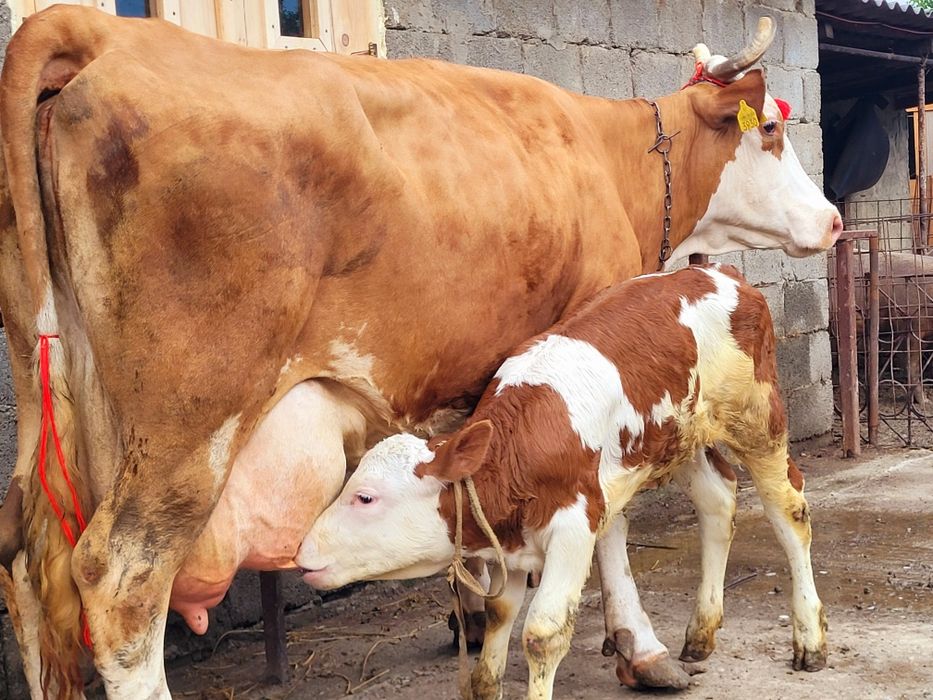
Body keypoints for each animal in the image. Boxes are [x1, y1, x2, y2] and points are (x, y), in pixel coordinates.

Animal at [297, 264, 828, 700]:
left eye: (365, 498)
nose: (302, 555)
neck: (517, 448)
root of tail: (721, 272)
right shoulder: (507, 545)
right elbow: (499, 618)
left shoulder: (575, 525)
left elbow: (542, 633)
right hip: (683, 436)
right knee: (718, 502)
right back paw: (700, 633)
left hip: (757, 418)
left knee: (790, 512)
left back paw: (810, 638)